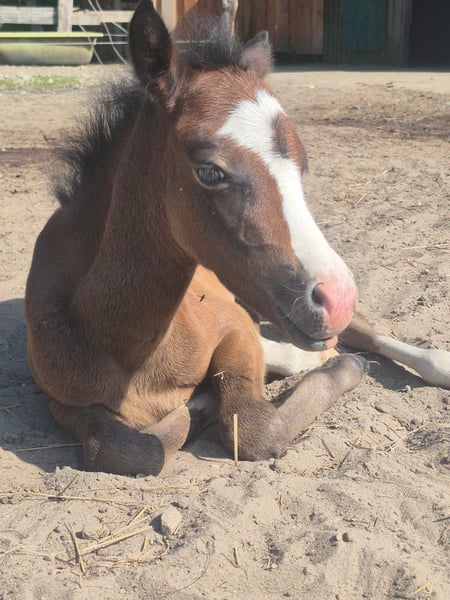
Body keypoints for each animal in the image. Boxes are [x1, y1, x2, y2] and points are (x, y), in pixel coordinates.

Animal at [25, 0, 450, 476]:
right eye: (210, 171)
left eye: (303, 165)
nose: (337, 298)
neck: (127, 348)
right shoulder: (64, 400)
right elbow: (124, 448)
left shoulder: (234, 329)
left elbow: (253, 427)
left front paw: (339, 369)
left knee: (363, 334)